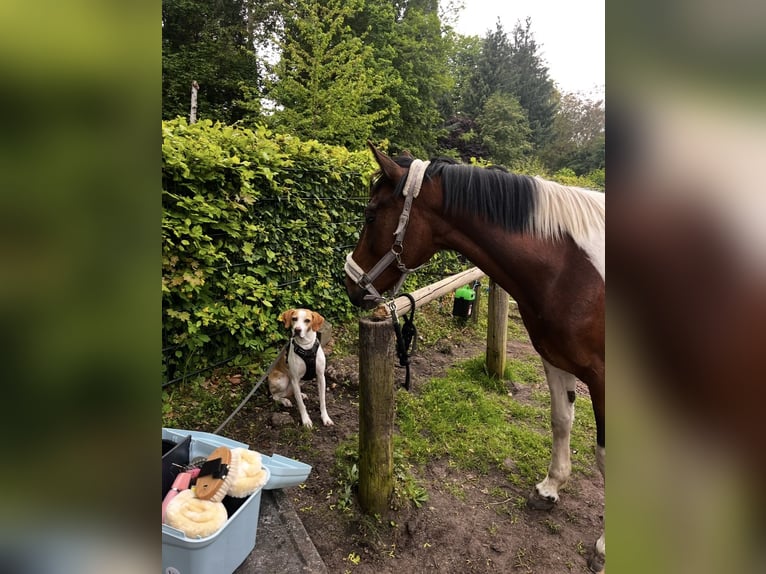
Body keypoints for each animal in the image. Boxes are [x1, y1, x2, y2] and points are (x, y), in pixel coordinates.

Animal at [345, 143, 606, 572]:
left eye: (370, 214)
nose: (350, 283)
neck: (573, 270)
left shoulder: (603, 378)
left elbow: (604, 455)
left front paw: (603, 544)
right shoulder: (555, 358)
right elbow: (561, 421)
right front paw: (550, 488)